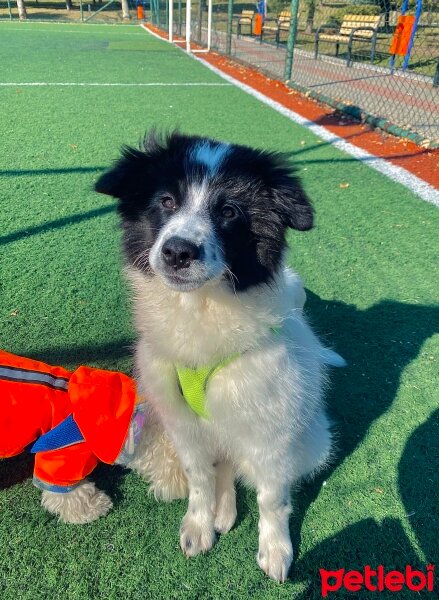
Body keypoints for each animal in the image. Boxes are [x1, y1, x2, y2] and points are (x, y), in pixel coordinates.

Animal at [95, 131, 344, 580]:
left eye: (229, 211)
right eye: (166, 201)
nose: (177, 252)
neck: (201, 311)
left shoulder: (272, 432)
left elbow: (272, 498)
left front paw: (275, 550)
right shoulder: (182, 423)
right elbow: (198, 479)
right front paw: (199, 524)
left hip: (314, 440)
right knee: (223, 464)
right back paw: (222, 510)